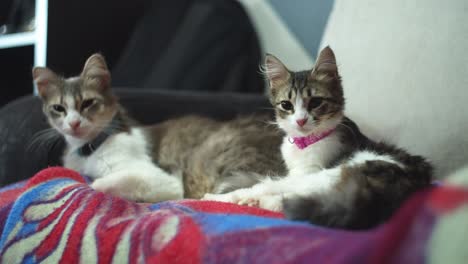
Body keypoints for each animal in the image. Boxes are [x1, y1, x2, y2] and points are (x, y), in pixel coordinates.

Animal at [33, 53, 286, 202]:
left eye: (87, 103)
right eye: (58, 108)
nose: (74, 123)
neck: (88, 149)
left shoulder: (164, 179)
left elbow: (102, 183)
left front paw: (92, 185)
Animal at [203, 47, 434, 229]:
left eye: (315, 103)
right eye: (287, 105)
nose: (301, 121)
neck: (305, 143)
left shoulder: (306, 172)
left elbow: (263, 184)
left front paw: (215, 197)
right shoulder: (295, 172)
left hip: (330, 173)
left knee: (276, 191)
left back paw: (243, 199)